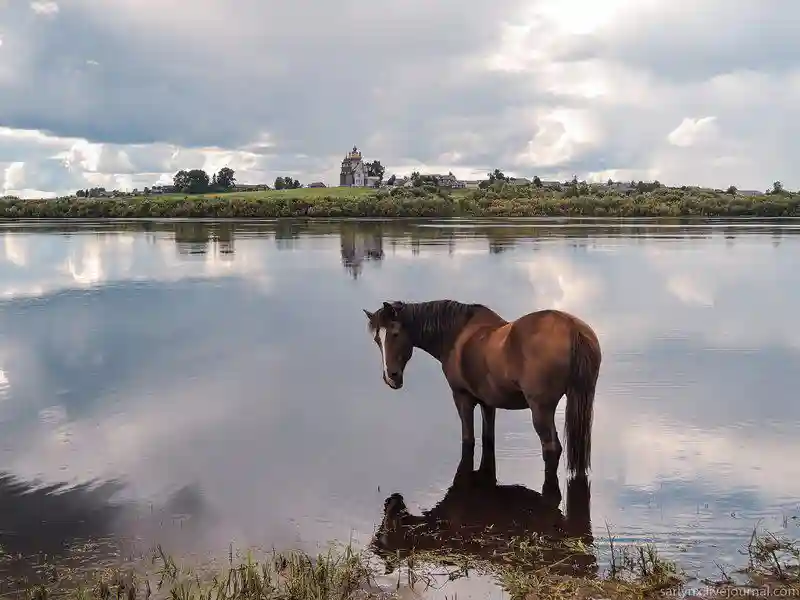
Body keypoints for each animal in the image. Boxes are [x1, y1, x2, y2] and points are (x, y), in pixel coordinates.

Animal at [362, 300, 600, 478]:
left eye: (394, 333)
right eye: (376, 340)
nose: (391, 377)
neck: (455, 335)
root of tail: (573, 328)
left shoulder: (462, 397)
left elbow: (469, 438)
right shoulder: (488, 402)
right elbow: (488, 438)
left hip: (541, 409)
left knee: (551, 447)